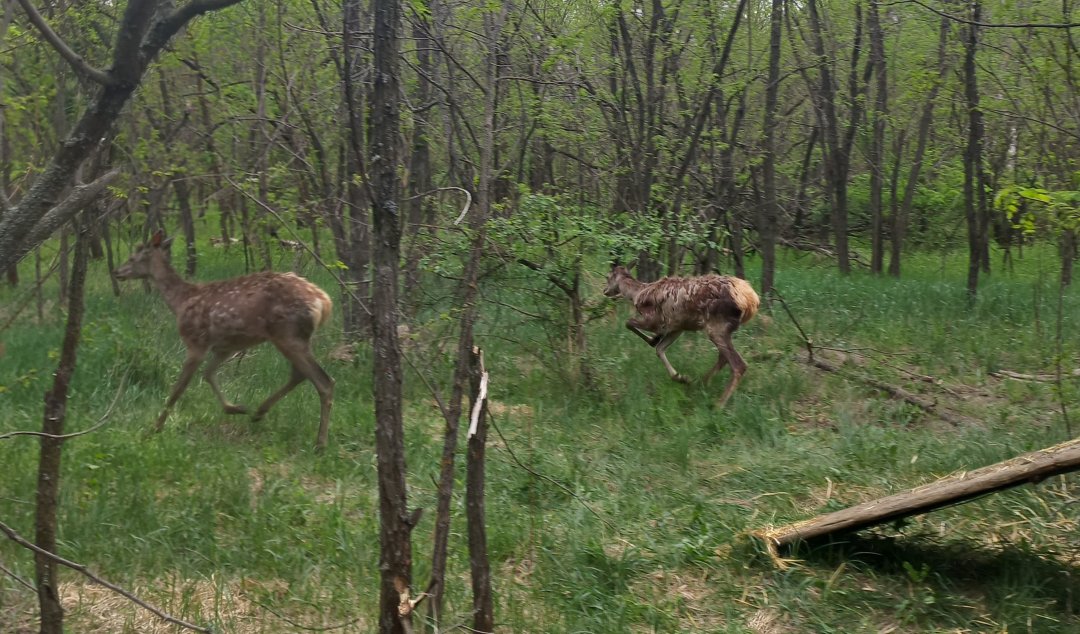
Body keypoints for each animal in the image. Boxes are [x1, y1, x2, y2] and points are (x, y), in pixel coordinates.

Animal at [112, 231, 334, 449]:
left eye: (133, 257)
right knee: (300, 374)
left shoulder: (196, 341)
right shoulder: (225, 347)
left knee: (323, 381)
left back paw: (320, 444)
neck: (180, 302)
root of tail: (324, 302)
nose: (116, 272)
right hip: (296, 337)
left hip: (287, 333)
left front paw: (154, 429)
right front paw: (236, 408)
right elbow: (208, 374)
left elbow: (178, 389)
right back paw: (258, 412)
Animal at [604, 264, 764, 406]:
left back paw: (718, 404)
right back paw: (699, 383)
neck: (636, 294)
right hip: (722, 329)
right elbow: (660, 349)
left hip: (716, 326)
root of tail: (751, 300)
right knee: (723, 357)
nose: (605, 291)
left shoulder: (654, 320)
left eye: (608, 276)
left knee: (738, 364)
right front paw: (681, 377)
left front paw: (653, 339)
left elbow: (629, 323)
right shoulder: (678, 326)